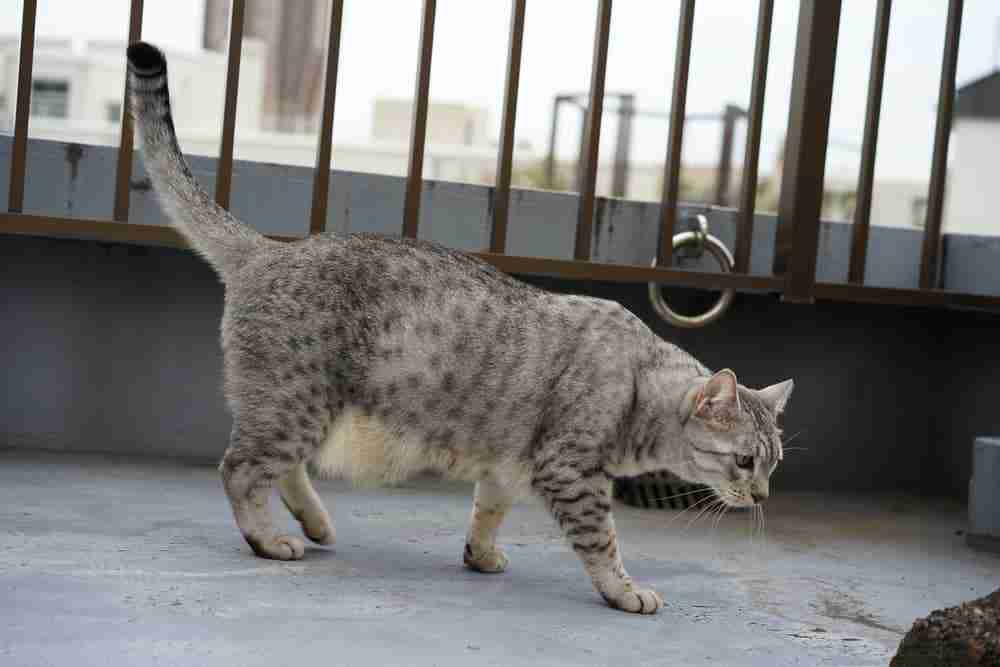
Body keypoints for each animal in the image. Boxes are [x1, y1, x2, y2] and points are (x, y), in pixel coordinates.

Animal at [127, 41, 796, 616]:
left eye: (773, 464)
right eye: (744, 462)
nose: (763, 497)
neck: (639, 386)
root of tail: (269, 249)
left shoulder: (508, 465)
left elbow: (487, 512)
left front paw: (481, 554)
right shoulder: (571, 471)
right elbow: (602, 541)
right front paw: (625, 590)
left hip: (304, 408)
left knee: (280, 467)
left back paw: (313, 523)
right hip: (298, 401)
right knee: (240, 468)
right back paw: (269, 540)